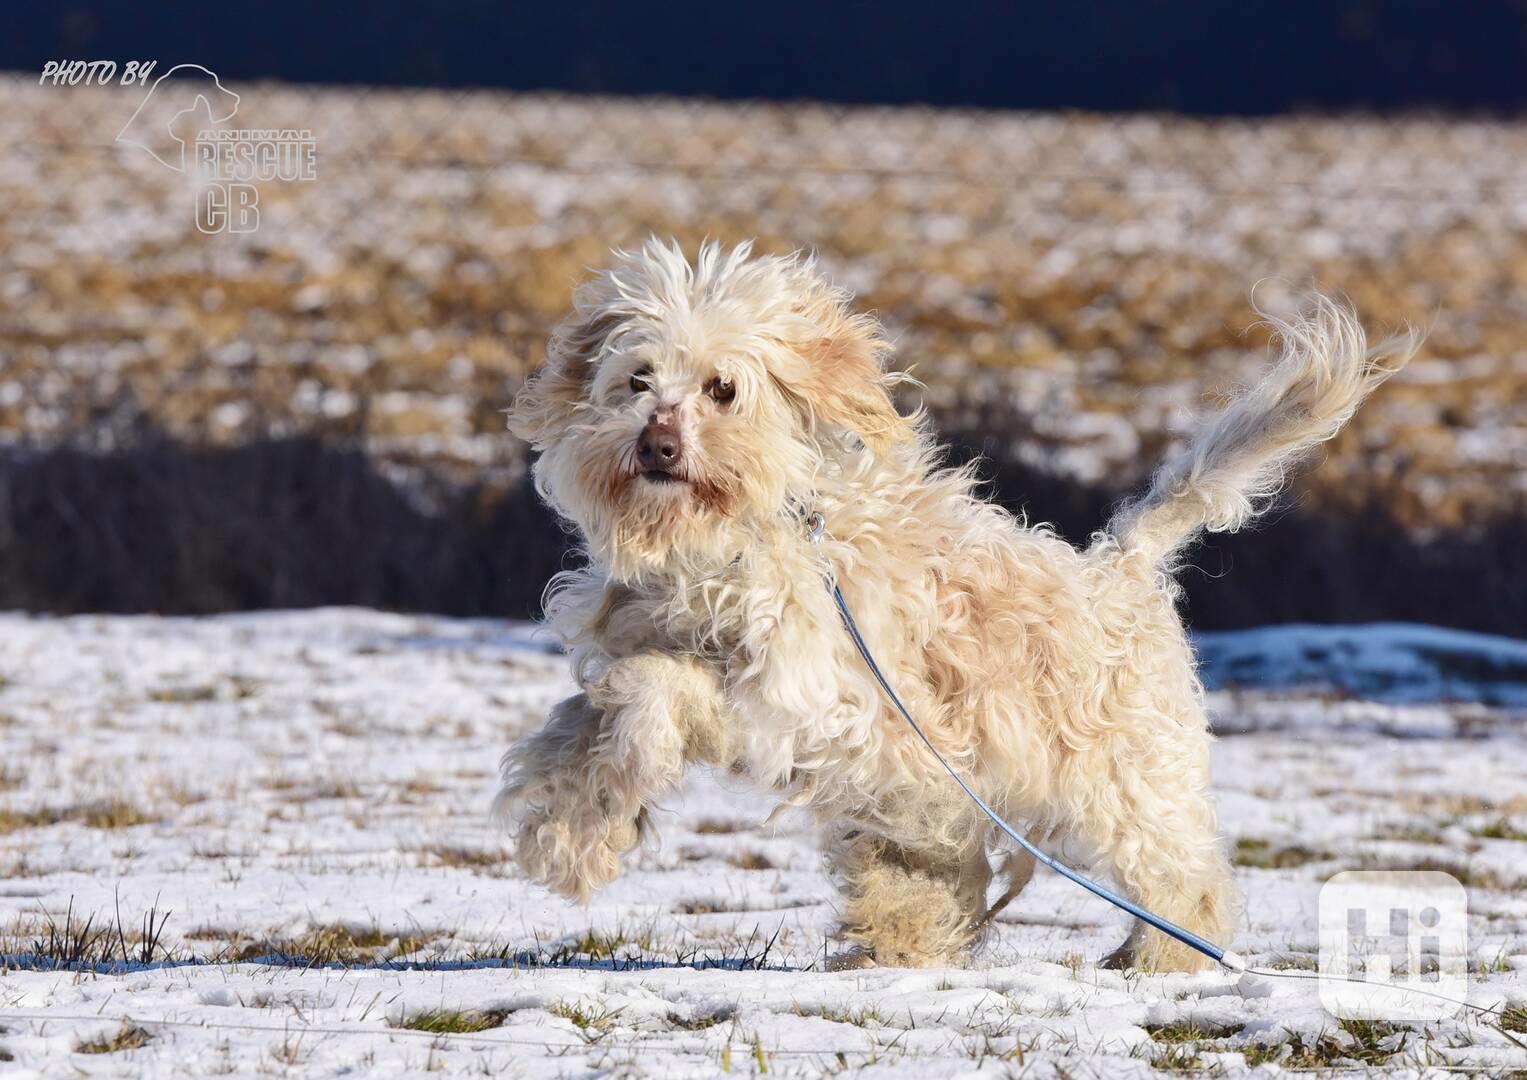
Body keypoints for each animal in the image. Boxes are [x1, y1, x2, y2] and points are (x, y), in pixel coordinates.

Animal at [494, 241, 1410, 977]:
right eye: (636, 379)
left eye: (723, 389)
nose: (656, 445)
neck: (736, 537)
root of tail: (1122, 568)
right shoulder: (635, 645)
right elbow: (584, 725)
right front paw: (566, 835)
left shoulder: (800, 700)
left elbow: (655, 691)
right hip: (933, 802)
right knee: (936, 877)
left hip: (1128, 790)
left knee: (1188, 881)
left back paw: (1158, 960)